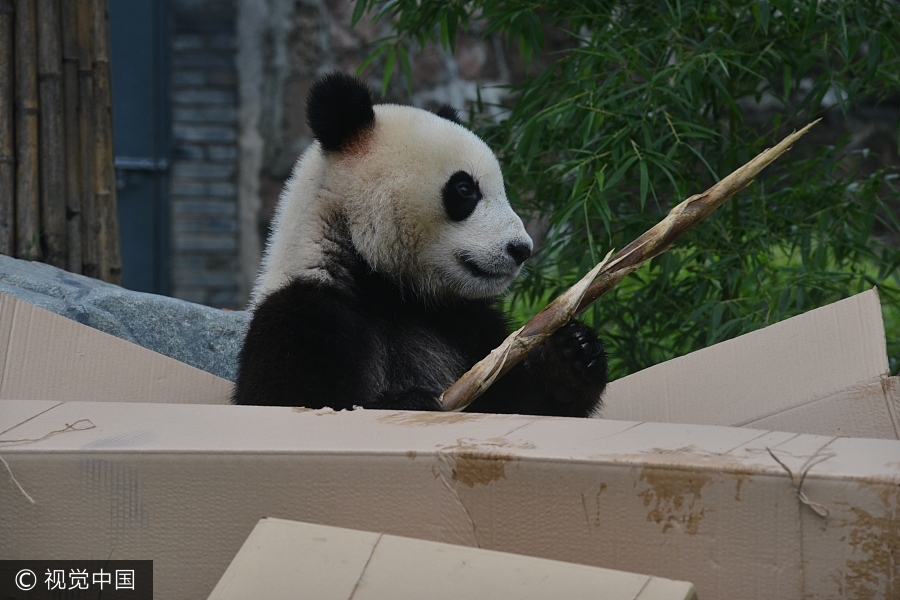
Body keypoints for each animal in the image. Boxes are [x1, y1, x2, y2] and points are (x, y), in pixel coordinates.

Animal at [233, 72, 607, 417]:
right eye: (465, 189)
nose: (520, 249)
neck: (389, 288)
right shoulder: (303, 310)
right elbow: (293, 398)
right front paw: (411, 400)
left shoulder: (464, 323)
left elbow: (523, 403)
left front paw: (575, 355)